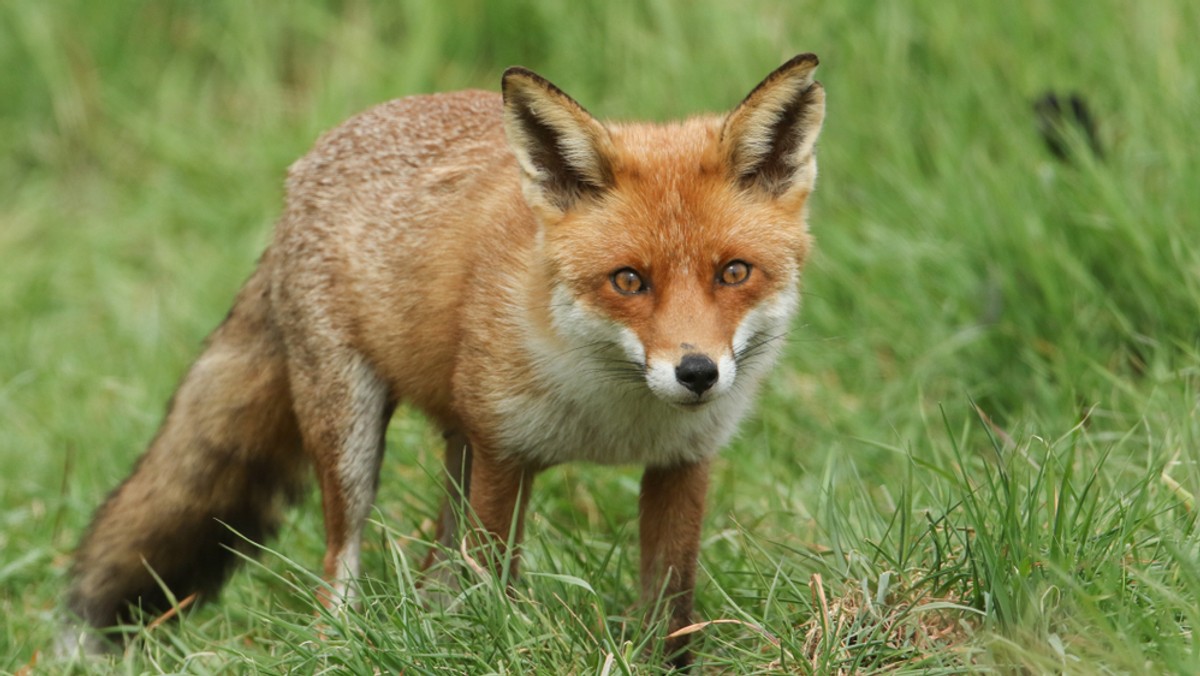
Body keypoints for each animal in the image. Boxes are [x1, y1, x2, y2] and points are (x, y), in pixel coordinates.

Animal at [63, 54, 825, 667]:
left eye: (734, 272)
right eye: (629, 280)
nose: (696, 372)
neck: (612, 410)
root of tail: (310, 161)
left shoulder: (681, 463)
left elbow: (671, 608)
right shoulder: (505, 454)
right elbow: (494, 585)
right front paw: (501, 651)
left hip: (457, 446)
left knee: (433, 568)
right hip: (354, 438)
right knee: (341, 565)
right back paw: (341, 647)